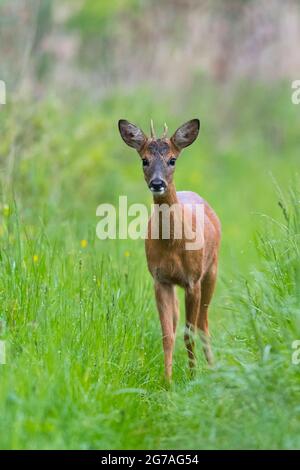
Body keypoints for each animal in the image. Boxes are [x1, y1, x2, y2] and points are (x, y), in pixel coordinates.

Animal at [119, 118, 220, 382]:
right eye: (144, 160)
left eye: (172, 159)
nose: (157, 183)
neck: (174, 244)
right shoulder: (160, 279)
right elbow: (167, 334)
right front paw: (168, 382)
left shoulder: (193, 280)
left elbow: (189, 332)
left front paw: (194, 377)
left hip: (211, 271)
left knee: (204, 325)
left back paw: (213, 369)